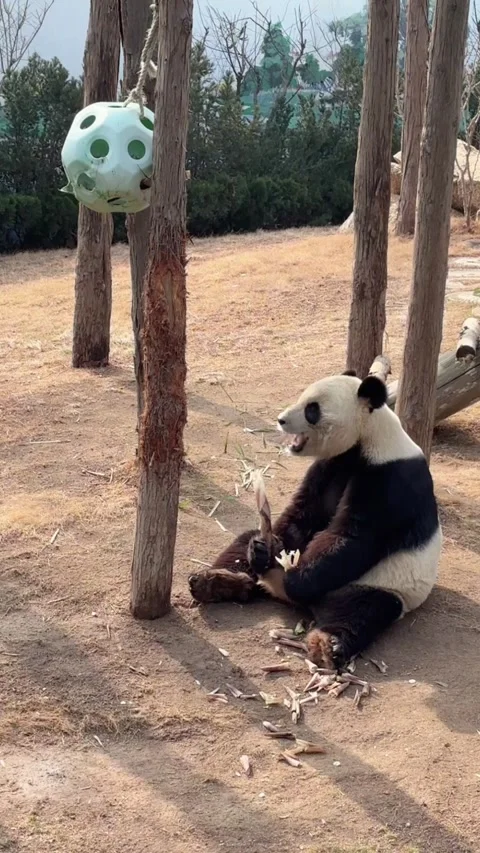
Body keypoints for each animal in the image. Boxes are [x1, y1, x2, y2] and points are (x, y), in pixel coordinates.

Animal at [188, 370, 442, 670]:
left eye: (312, 409)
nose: (281, 419)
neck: (368, 436)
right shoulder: (332, 464)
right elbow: (303, 515)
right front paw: (267, 551)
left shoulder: (390, 478)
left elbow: (352, 538)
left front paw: (293, 578)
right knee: (243, 544)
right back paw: (218, 580)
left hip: (382, 584)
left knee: (361, 610)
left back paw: (326, 644)